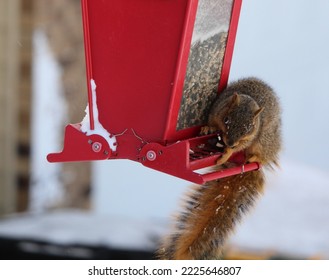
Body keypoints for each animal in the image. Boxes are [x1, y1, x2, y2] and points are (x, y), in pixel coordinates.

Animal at [158, 77, 280, 260]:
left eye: (249, 127)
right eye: (227, 119)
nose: (230, 142)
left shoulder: (250, 137)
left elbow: (240, 145)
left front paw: (227, 152)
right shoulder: (216, 111)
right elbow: (211, 123)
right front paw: (208, 128)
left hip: (264, 141)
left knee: (260, 153)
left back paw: (253, 158)